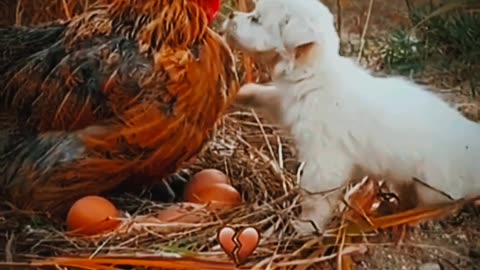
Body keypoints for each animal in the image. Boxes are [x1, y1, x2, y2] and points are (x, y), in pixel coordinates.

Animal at [224, 0, 480, 234]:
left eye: (256, 19)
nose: (230, 15)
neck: (314, 74)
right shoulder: (285, 104)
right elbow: (268, 95)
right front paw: (242, 92)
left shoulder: (324, 161)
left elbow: (316, 198)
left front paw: (305, 226)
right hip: (405, 178)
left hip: (435, 186)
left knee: (444, 205)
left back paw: (414, 219)